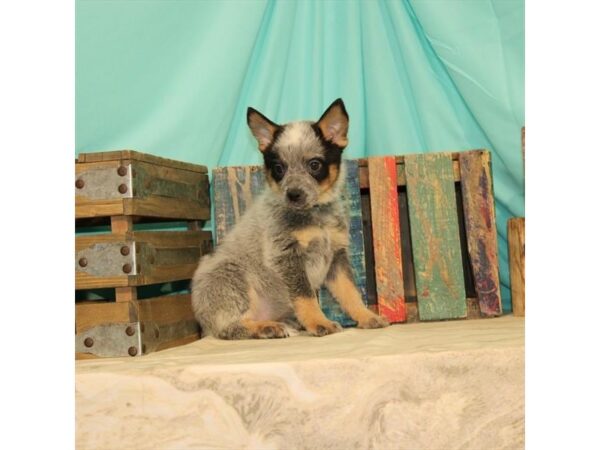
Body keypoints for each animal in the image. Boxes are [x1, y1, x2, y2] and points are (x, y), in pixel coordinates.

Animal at [191, 98, 390, 338]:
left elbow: (350, 293)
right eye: (279, 168)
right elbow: (306, 297)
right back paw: (267, 328)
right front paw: (319, 323)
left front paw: (367, 317)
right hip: (232, 280)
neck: (316, 216)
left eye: (314, 164)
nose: (293, 194)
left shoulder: (336, 255)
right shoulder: (287, 256)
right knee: (229, 329)